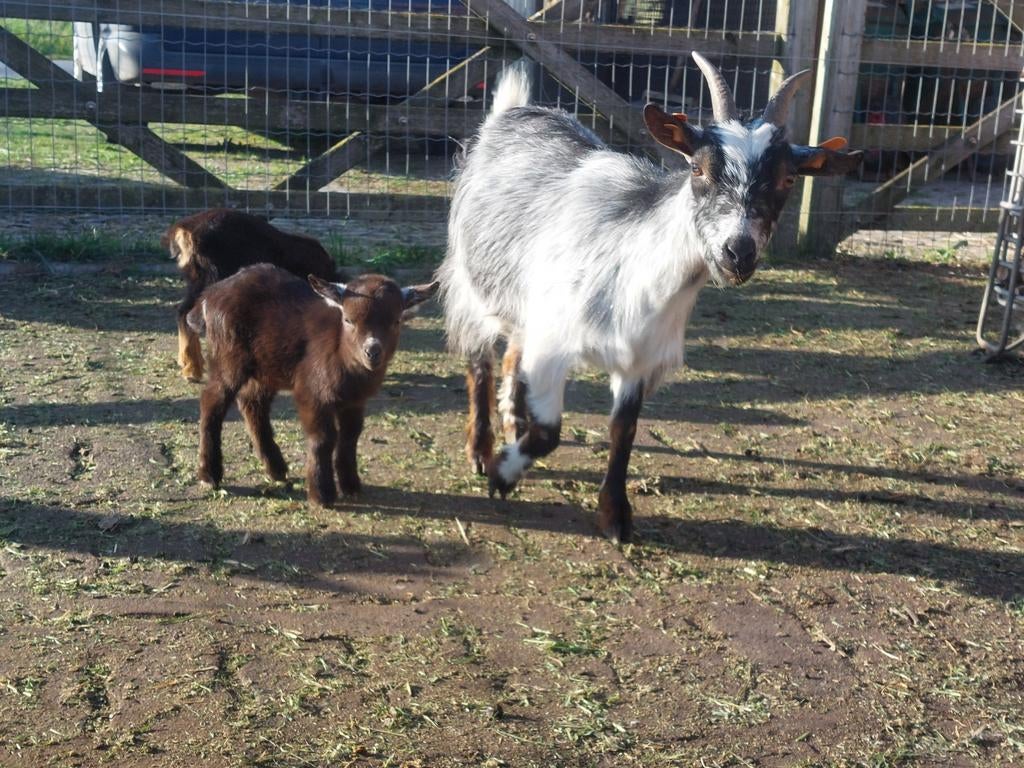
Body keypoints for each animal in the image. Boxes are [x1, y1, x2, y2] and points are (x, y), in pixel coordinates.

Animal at [187, 264, 438, 505]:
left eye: (396, 321)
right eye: (348, 319)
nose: (372, 352)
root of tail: (209, 296)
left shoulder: (355, 401)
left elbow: (350, 436)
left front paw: (351, 486)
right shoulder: (311, 391)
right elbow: (323, 438)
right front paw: (322, 494)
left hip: (265, 368)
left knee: (252, 403)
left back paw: (276, 469)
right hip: (228, 356)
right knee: (212, 401)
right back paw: (210, 474)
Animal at [439, 54, 863, 543]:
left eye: (789, 178)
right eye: (697, 169)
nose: (738, 251)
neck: (634, 262)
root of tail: (512, 112)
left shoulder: (640, 356)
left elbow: (624, 430)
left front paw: (615, 516)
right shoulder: (555, 342)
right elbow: (549, 433)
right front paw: (502, 474)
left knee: (511, 357)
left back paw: (512, 423)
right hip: (471, 282)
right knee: (480, 361)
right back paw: (481, 448)